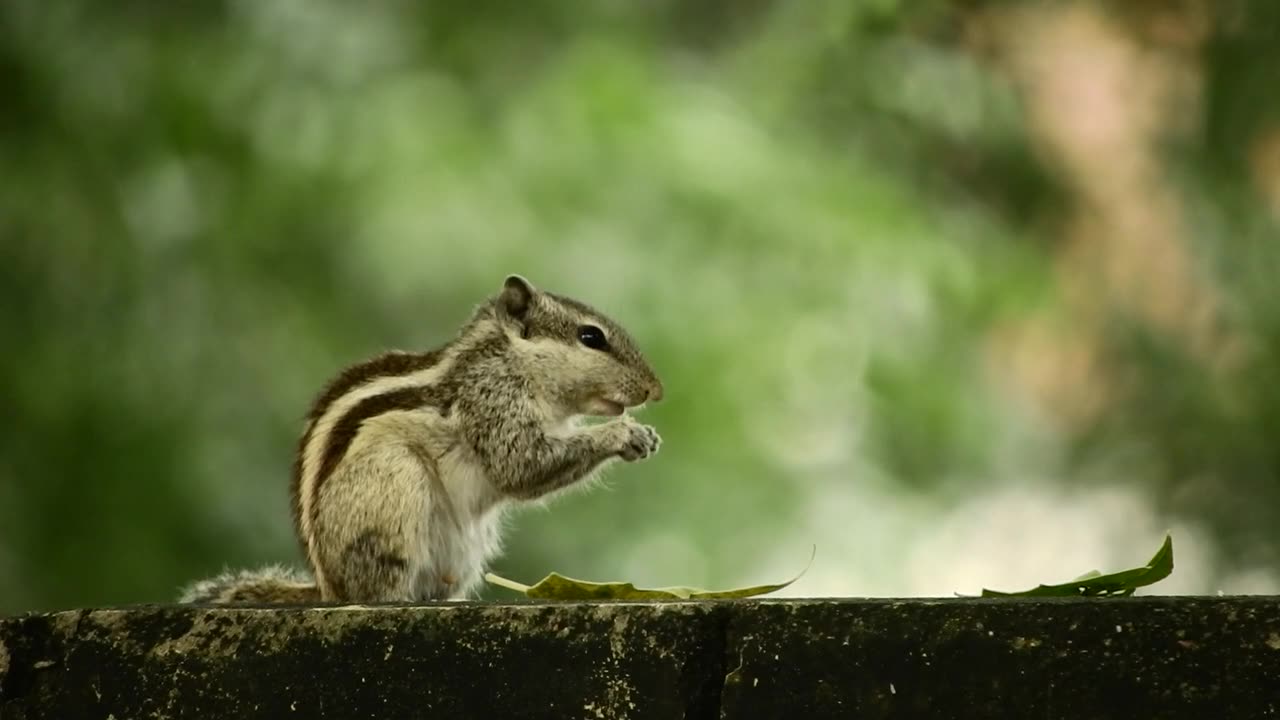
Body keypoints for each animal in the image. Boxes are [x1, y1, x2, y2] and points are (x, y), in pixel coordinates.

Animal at [180, 271, 665, 602]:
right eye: (591, 337)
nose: (655, 391)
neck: (510, 360)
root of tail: (328, 589)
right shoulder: (492, 403)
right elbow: (521, 465)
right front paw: (623, 434)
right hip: (395, 488)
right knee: (375, 590)